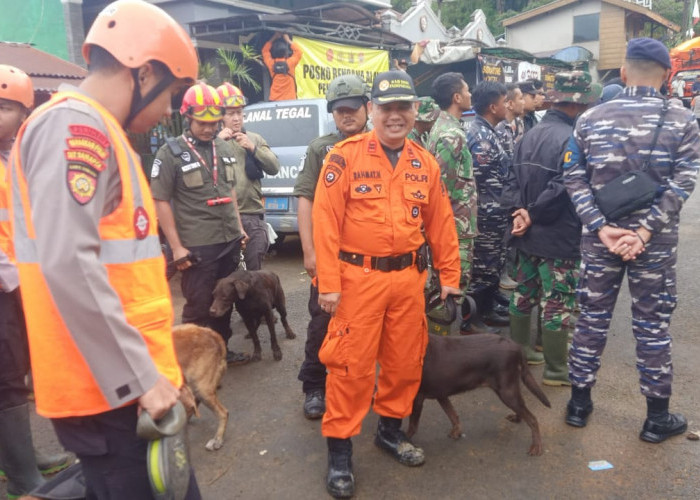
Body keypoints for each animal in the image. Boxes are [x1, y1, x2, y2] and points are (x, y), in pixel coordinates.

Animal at [408, 334, 548, 456]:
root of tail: (517, 346)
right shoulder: (441, 393)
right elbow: (452, 414)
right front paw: (456, 432)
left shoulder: (417, 397)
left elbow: (412, 426)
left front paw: (406, 442)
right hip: (511, 388)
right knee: (523, 407)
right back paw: (517, 418)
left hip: (506, 392)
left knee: (532, 419)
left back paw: (536, 447)